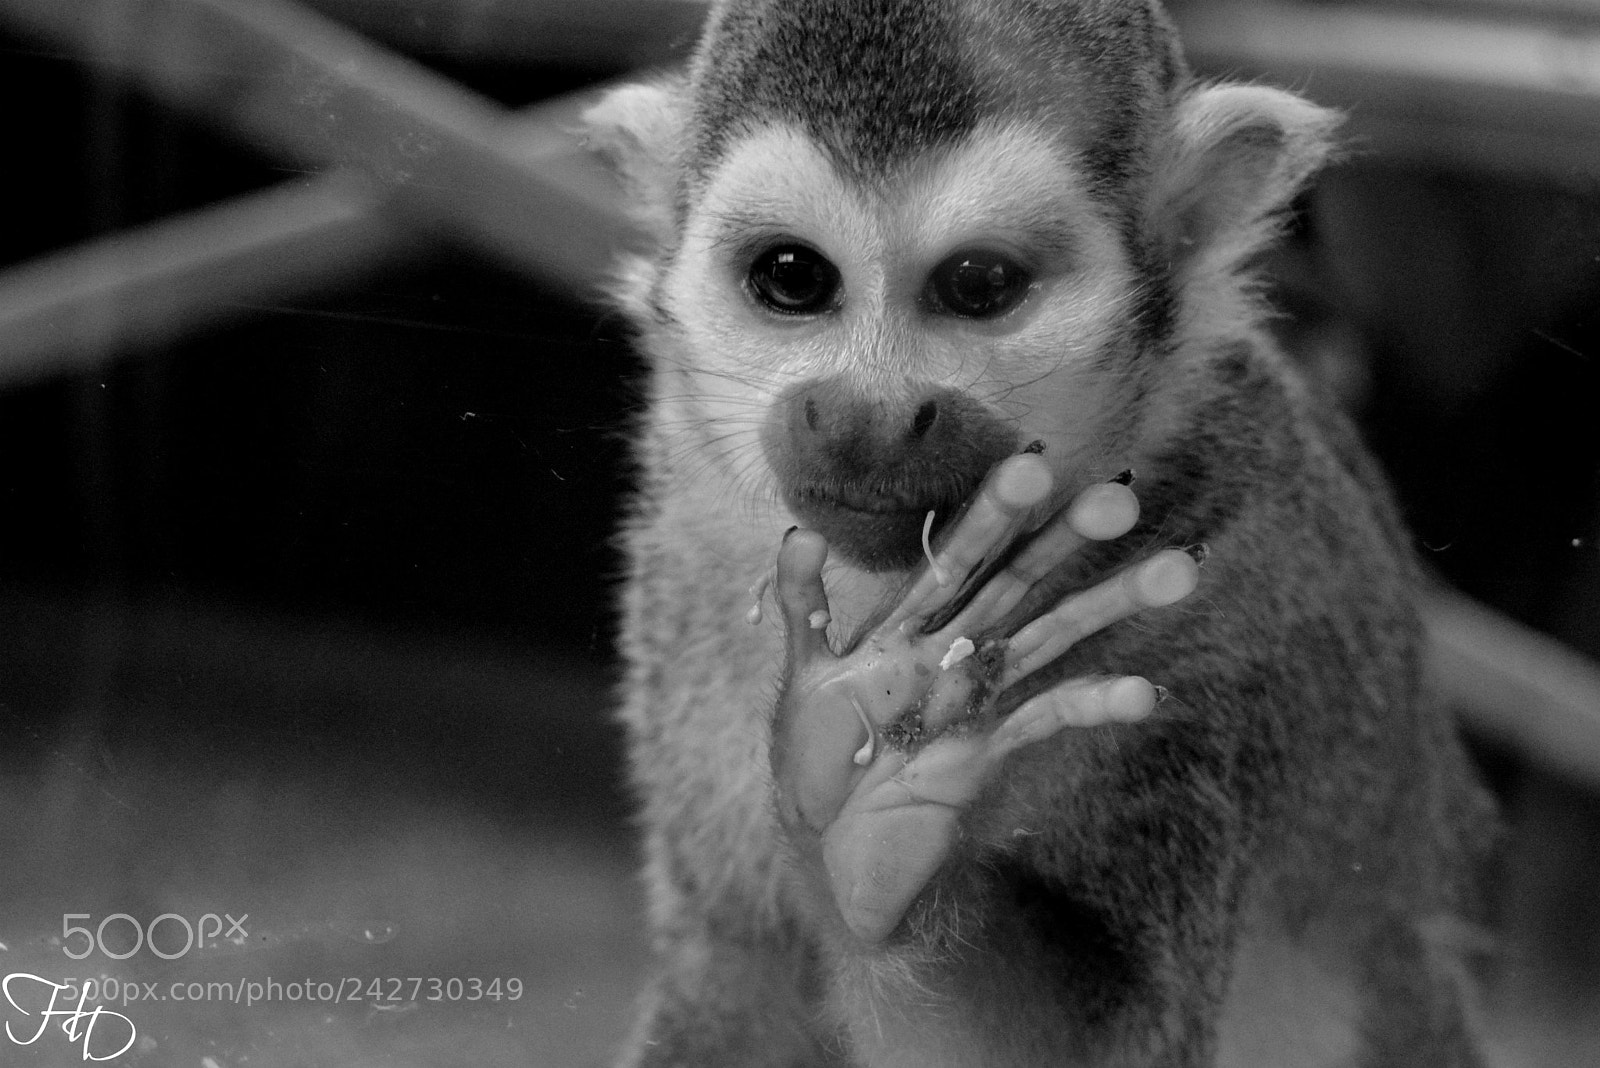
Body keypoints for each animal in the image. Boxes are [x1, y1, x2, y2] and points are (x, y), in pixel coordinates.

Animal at [583, 0, 1498, 1064]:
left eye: (978, 284)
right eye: (793, 277)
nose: (864, 415)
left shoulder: (1235, 611)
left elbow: (1117, 1030)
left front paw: (879, 852)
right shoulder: (678, 560)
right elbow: (736, 969)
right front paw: (864, 767)